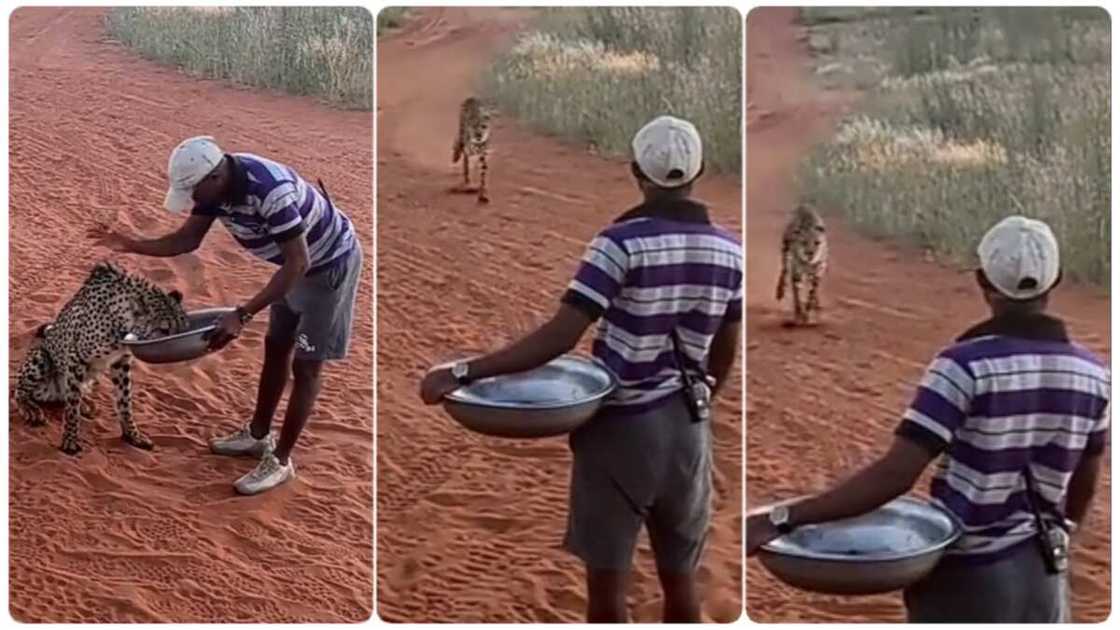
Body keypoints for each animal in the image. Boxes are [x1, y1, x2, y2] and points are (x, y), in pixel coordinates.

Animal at [14, 262, 190, 452]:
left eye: (184, 328)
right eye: (164, 330)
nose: (179, 347)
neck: (120, 322)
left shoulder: (121, 361)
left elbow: (124, 400)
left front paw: (132, 436)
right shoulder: (76, 357)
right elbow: (72, 406)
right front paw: (70, 440)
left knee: (67, 396)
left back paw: (85, 404)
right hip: (41, 358)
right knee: (21, 392)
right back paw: (30, 408)